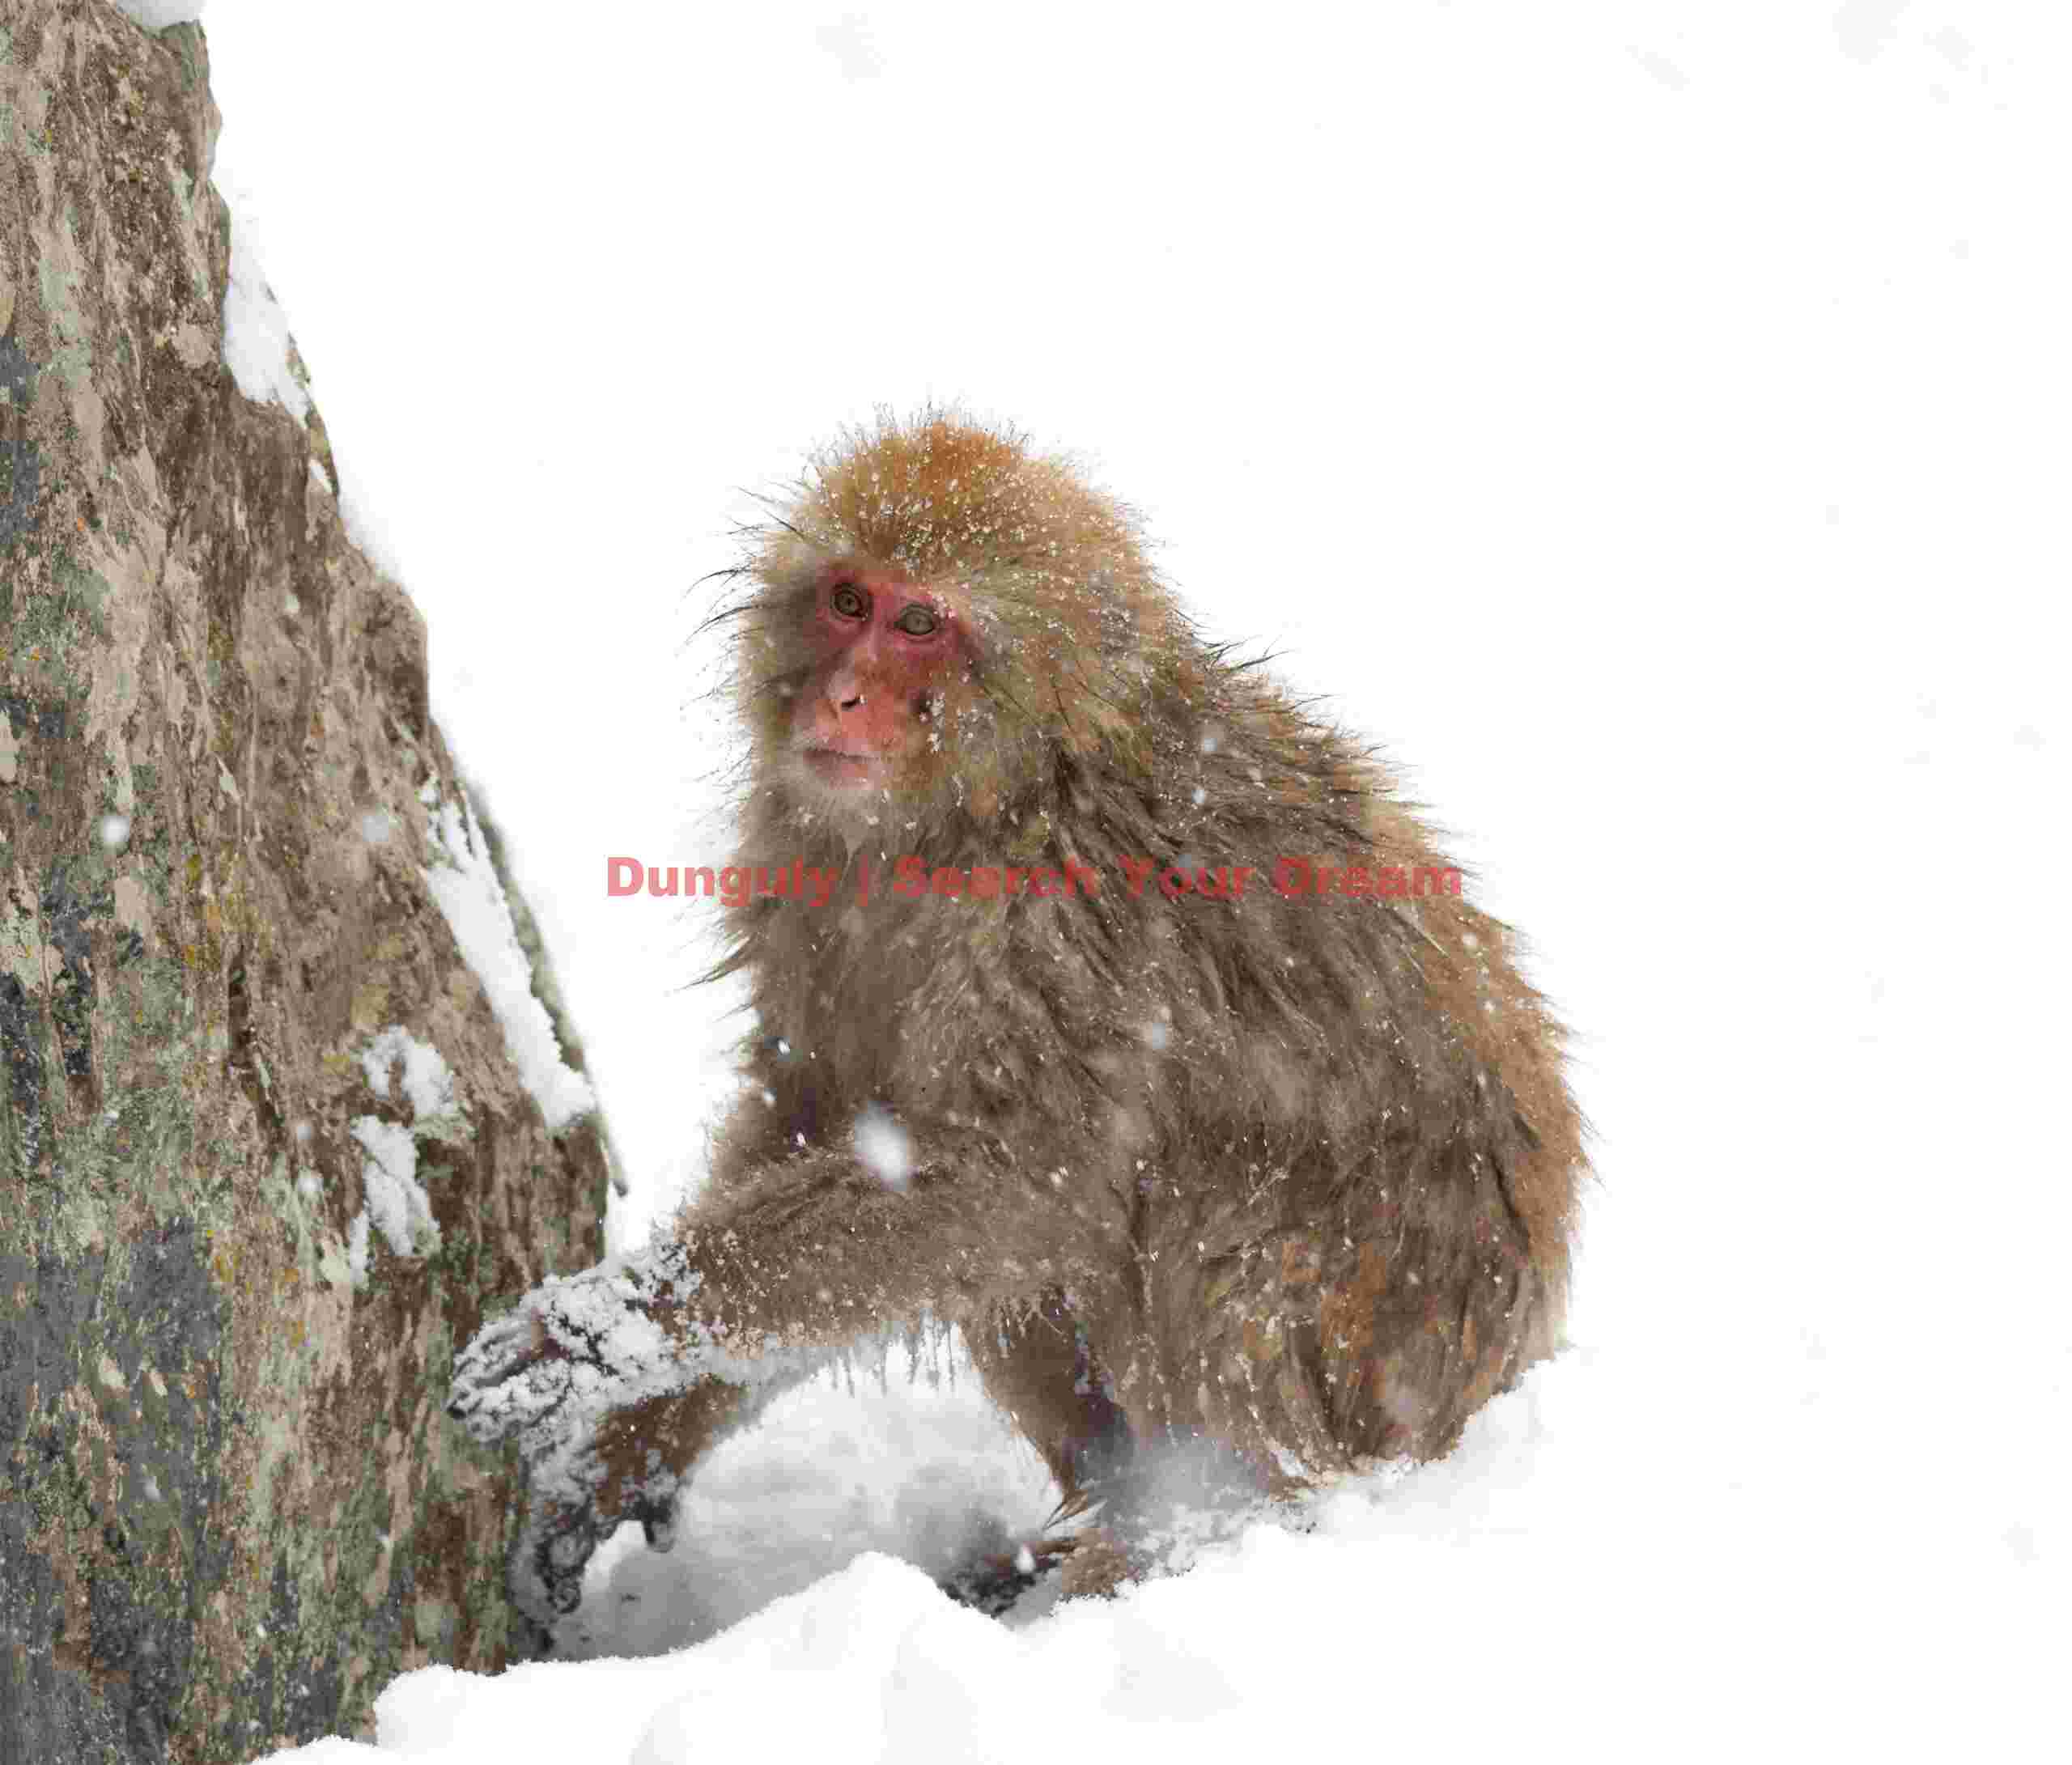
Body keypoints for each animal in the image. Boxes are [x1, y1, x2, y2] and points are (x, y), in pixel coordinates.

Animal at [448, 411, 1586, 1633]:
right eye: (847, 599)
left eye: (920, 623)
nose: (840, 696)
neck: (993, 802)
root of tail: (1503, 1368)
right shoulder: (809, 867)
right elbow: (823, 1113)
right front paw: (625, 1443)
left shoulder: (1062, 929)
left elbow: (1008, 1183)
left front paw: (605, 1326)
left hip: (1378, 1341)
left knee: (1191, 1216)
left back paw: (1177, 1546)